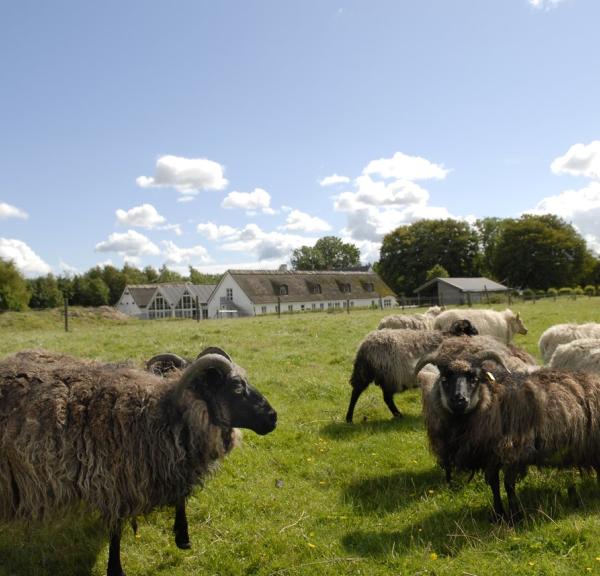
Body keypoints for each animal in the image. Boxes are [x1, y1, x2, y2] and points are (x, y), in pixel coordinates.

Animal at [0, 348, 276, 576]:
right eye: (237, 387)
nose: (273, 417)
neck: (161, 413)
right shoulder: (115, 482)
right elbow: (116, 530)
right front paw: (115, 570)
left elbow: (180, 499)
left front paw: (182, 537)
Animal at [344, 320, 480, 424]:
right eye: (471, 329)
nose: (478, 335)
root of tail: (364, 345)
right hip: (386, 375)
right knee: (365, 395)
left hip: (370, 373)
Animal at [414, 346, 600, 520]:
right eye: (445, 378)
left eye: (474, 378)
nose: (459, 400)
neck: (492, 401)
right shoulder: (489, 457)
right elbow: (494, 485)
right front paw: (498, 514)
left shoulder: (513, 453)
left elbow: (509, 486)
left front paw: (515, 516)